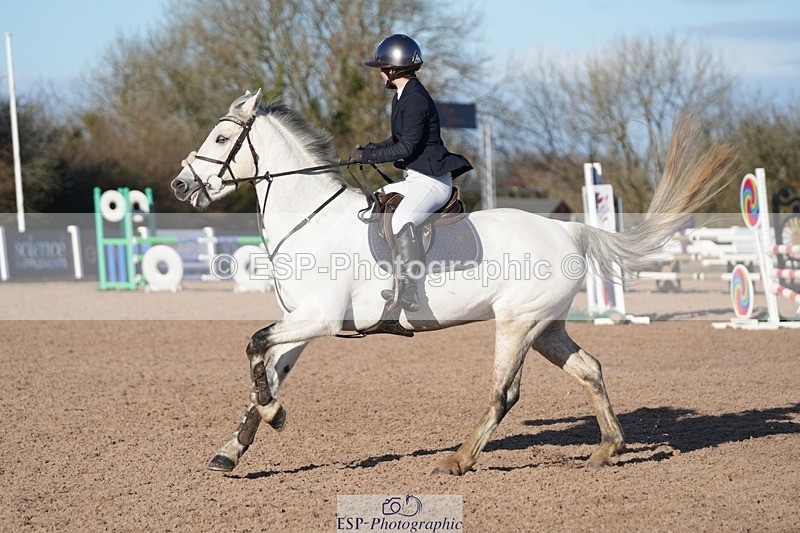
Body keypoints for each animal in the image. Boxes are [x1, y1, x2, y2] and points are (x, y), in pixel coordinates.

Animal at [171, 89, 735, 475]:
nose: (180, 185)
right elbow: (267, 367)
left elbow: (253, 347)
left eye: (221, 138)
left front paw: (273, 415)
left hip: (517, 323)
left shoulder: (319, 319)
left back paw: (459, 459)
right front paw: (235, 446)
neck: (311, 218)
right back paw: (608, 449)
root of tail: (568, 229)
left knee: (504, 394)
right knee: (589, 369)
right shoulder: (301, 321)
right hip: (546, 327)